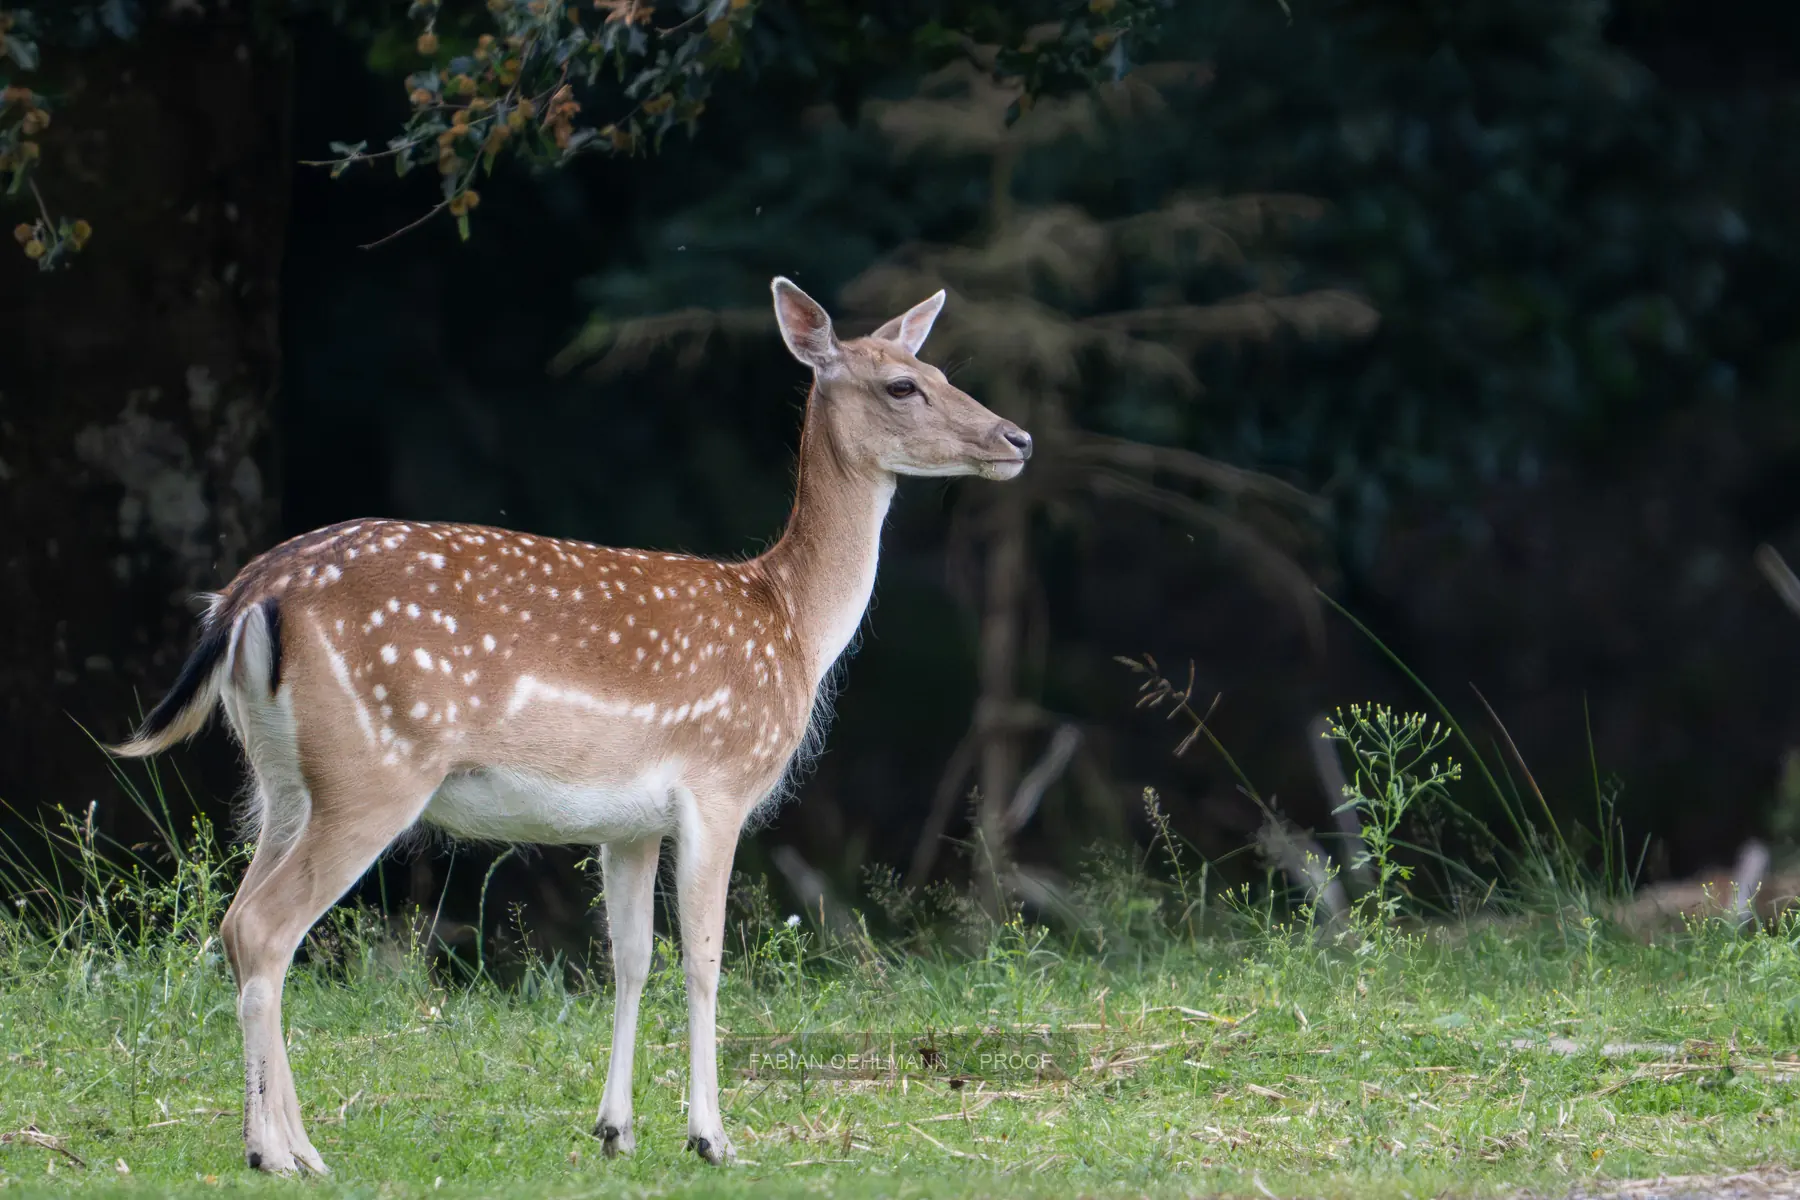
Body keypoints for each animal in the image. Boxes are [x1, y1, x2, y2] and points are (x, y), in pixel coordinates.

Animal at [108, 277, 1032, 1175]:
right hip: (372, 771)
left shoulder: (630, 822)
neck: (791, 623)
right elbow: (704, 957)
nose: (1016, 437)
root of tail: (246, 597)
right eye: (903, 385)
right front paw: (712, 1137)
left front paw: (615, 1130)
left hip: (281, 782)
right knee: (265, 929)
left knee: (236, 922)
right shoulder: (718, 783)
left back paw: (288, 1144)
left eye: (943, 370)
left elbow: (631, 958)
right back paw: (280, 1153)